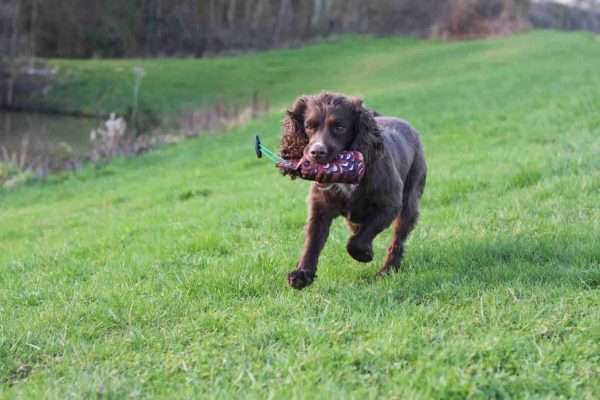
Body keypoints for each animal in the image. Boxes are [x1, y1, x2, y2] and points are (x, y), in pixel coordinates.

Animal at [282, 92, 426, 290]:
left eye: (340, 127)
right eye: (309, 126)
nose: (316, 152)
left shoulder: (389, 204)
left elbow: (358, 240)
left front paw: (364, 254)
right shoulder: (320, 208)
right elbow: (312, 242)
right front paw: (302, 274)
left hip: (410, 199)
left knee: (398, 239)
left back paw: (388, 269)